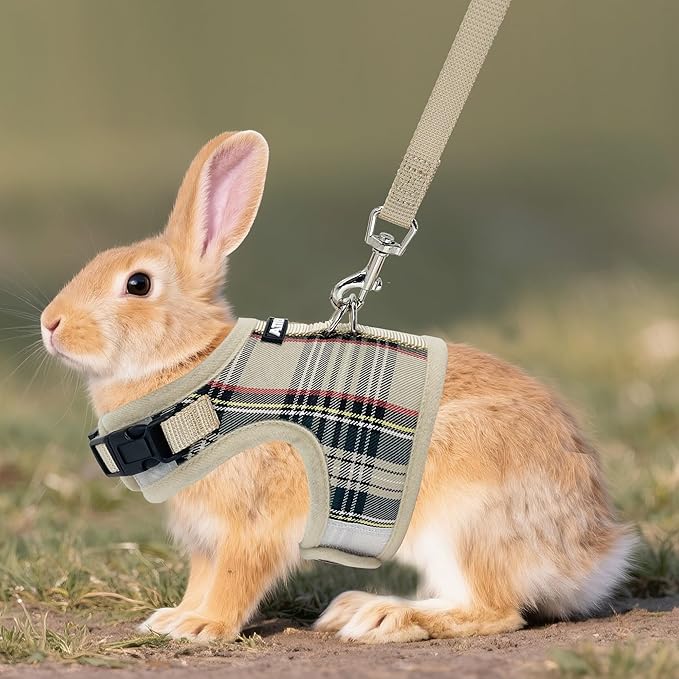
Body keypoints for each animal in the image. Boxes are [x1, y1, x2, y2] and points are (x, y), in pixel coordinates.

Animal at [40, 130, 635, 644]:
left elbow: (235, 577)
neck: (190, 365)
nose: (51, 323)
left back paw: (384, 616)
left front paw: (203, 627)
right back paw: (356, 607)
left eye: (137, 284)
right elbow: (201, 577)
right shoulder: (204, 536)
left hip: (461, 519)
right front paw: (174, 617)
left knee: (495, 609)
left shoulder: (252, 523)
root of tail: (593, 552)